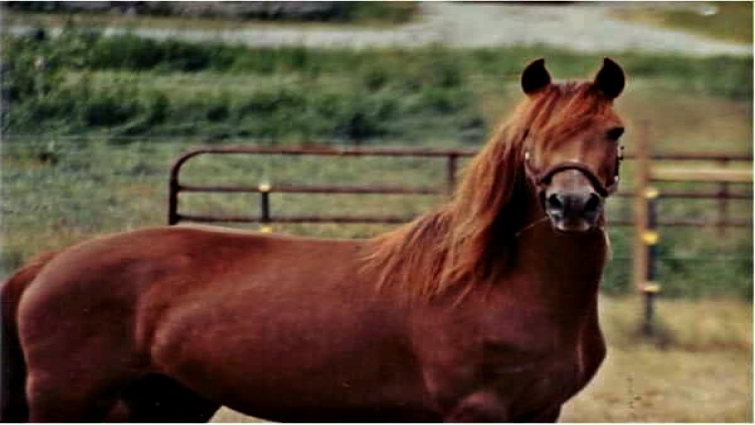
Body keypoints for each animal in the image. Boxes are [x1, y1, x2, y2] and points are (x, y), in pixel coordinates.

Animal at [1, 57, 626, 422]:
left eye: (614, 131)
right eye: (531, 135)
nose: (572, 205)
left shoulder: (540, 411)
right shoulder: (476, 411)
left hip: (163, 404)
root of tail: (47, 265)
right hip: (66, 402)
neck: (494, 281)